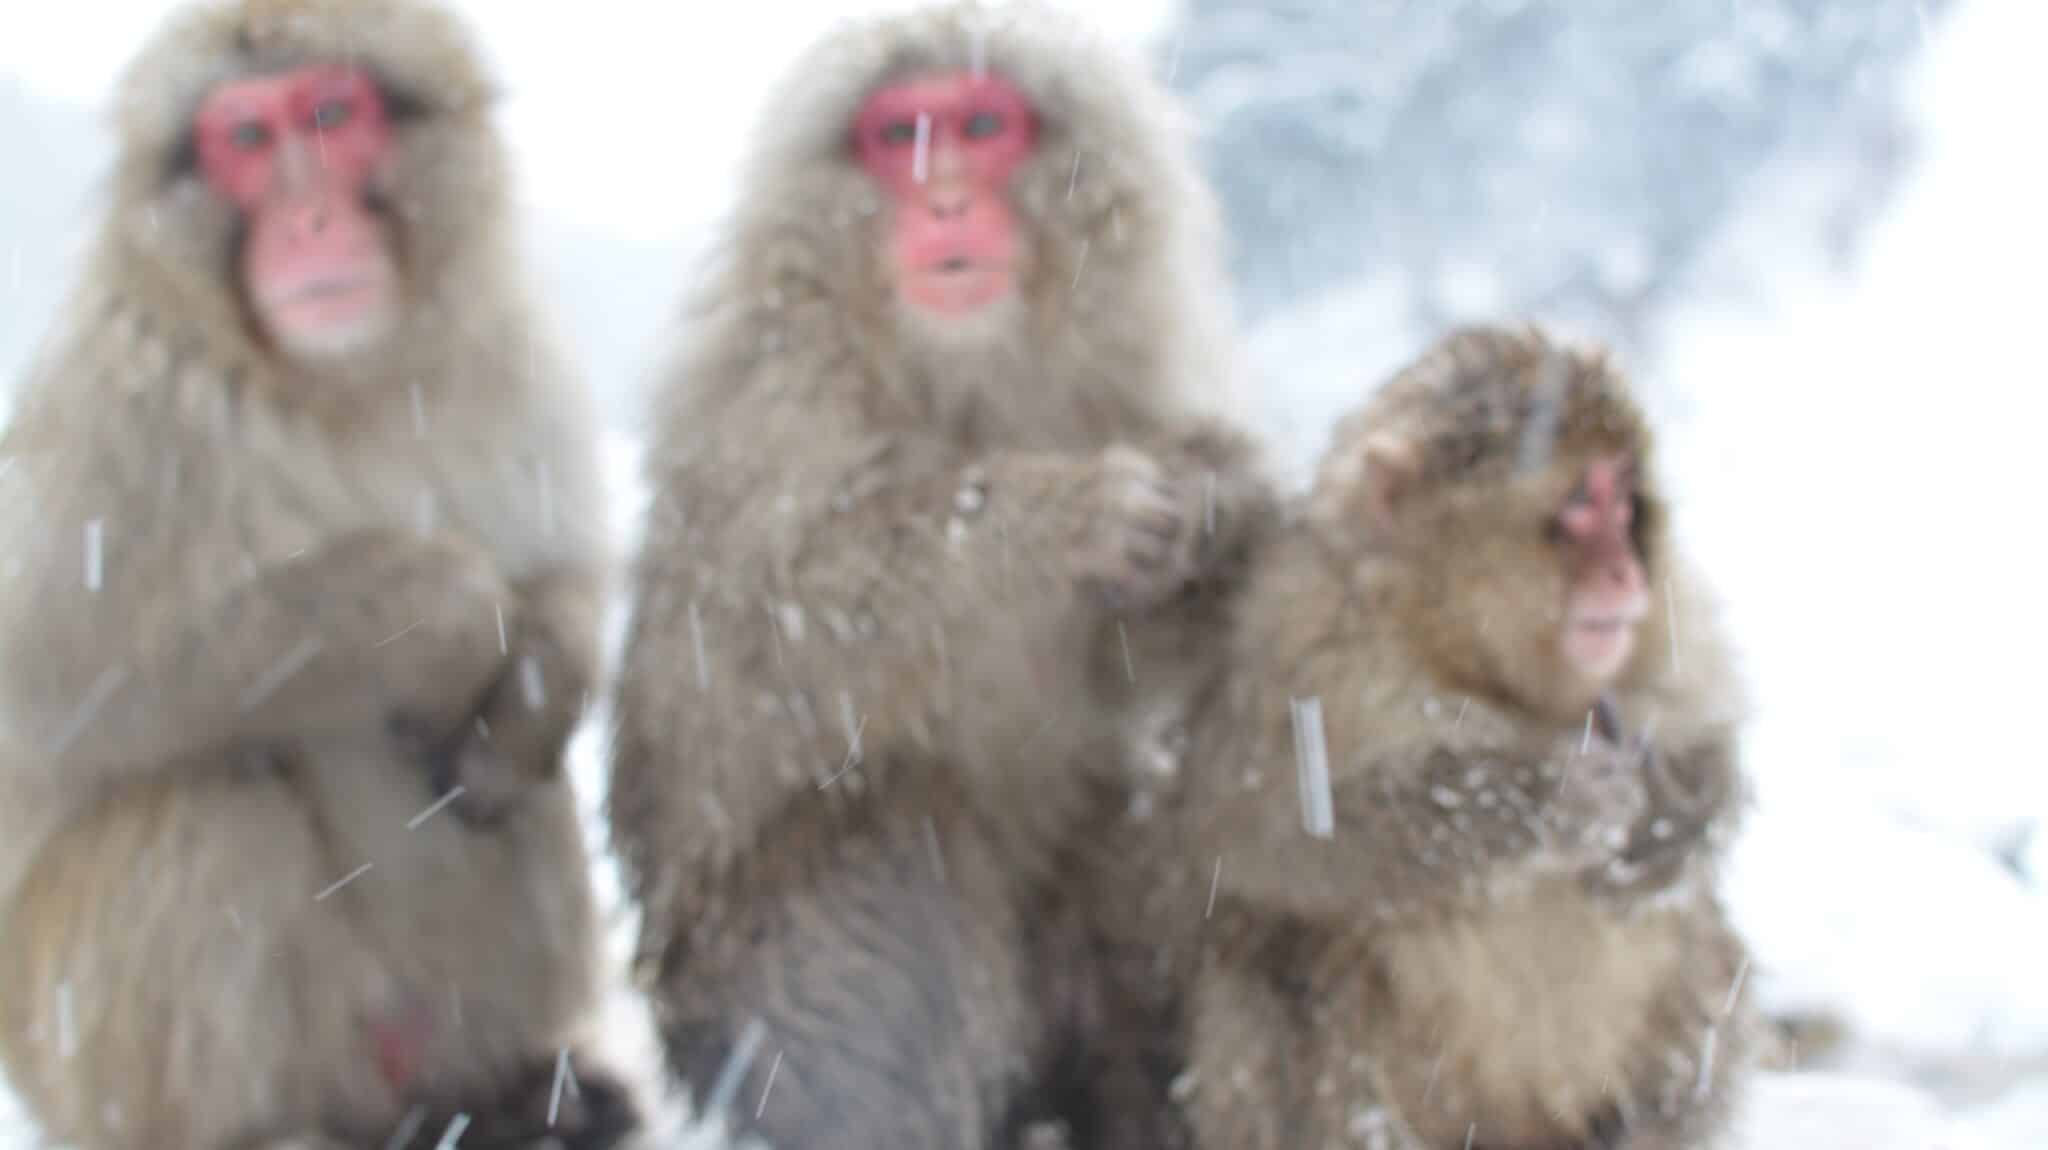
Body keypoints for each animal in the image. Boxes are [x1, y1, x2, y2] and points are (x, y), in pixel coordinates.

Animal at [0, 2, 638, 1147]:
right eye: (247, 138)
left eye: (332, 114)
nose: (306, 219)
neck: (341, 380)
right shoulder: (112, 408)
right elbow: (54, 690)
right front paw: (444, 619)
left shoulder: (509, 350)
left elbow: (561, 582)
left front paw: (529, 692)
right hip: (76, 1060)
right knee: (208, 805)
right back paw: (264, 1130)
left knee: (522, 804)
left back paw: (522, 1090)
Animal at [603, 4, 1274, 1147]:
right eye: (899, 134)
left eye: (981, 125)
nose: (945, 194)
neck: (961, 365)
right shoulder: (763, 399)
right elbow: (760, 636)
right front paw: (1062, 520)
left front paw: (1216, 501)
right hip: (745, 997)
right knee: (898, 825)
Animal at [1101, 325, 1758, 1150]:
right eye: (1582, 504)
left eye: (1625, 501)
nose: (1625, 573)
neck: (1459, 650)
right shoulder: (1294, 643)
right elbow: (1259, 833)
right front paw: (1549, 799)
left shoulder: (1673, 623)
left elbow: (1704, 741)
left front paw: (1669, 819)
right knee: (1285, 961)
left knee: (1702, 954)